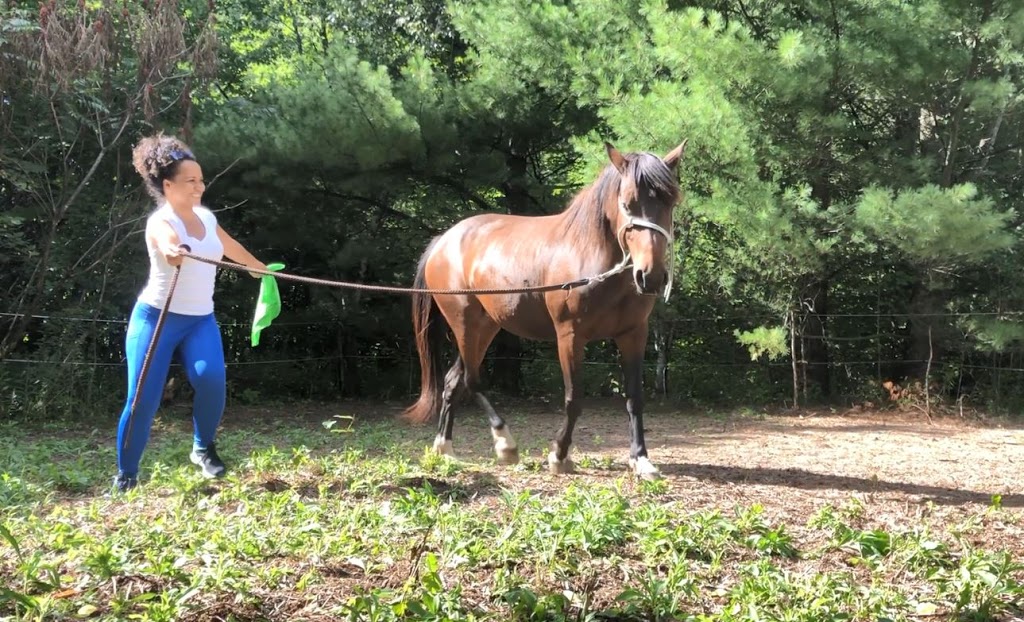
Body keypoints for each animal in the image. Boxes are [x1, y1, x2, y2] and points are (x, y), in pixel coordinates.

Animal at [403, 142, 684, 481]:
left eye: (671, 201)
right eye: (627, 202)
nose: (651, 276)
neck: (590, 255)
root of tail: (443, 241)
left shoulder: (633, 334)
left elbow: (634, 398)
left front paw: (640, 459)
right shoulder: (570, 336)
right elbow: (574, 399)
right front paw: (559, 454)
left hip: (484, 328)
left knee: (453, 381)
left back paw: (444, 448)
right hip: (464, 323)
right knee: (472, 380)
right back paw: (505, 443)